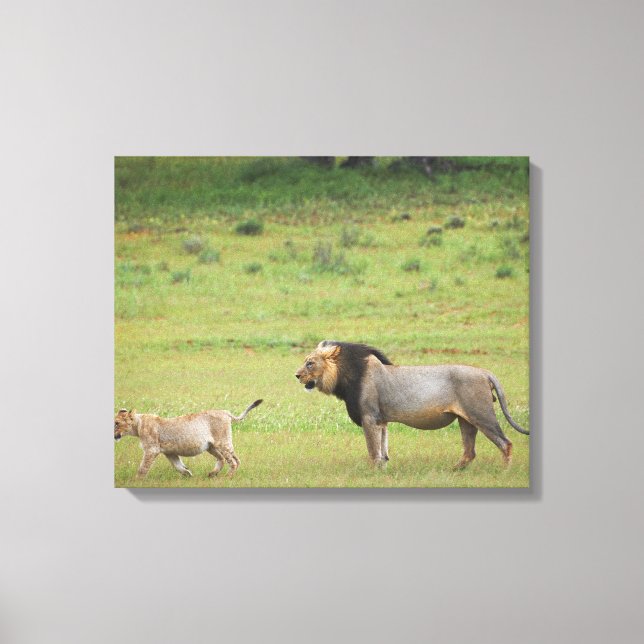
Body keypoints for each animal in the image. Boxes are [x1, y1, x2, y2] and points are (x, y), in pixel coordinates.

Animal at [114, 399, 262, 478]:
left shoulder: (152, 450)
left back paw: (227, 477)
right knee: (226, 459)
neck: (138, 425)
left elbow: (143, 467)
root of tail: (225, 412)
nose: (113, 434)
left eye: (117, 423)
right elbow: (178, 466)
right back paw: (212, 474)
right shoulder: (170, 452)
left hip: (222, 442)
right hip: (212, 446)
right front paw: (188, 474)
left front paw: (136, 480)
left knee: (233, 461)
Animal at [295, 341, 528, 468]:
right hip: (466, 420)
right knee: (469, 452)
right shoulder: (381, 421)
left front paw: (372, 473)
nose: (296, 375)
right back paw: (453, 471)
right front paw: (383, 472)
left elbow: (373, 451)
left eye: (310, 363)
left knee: (505, 443)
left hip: (481, 414)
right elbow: (383, 452)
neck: (345, 377)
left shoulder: (369, 417)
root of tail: (485, 372)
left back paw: (503, 472)